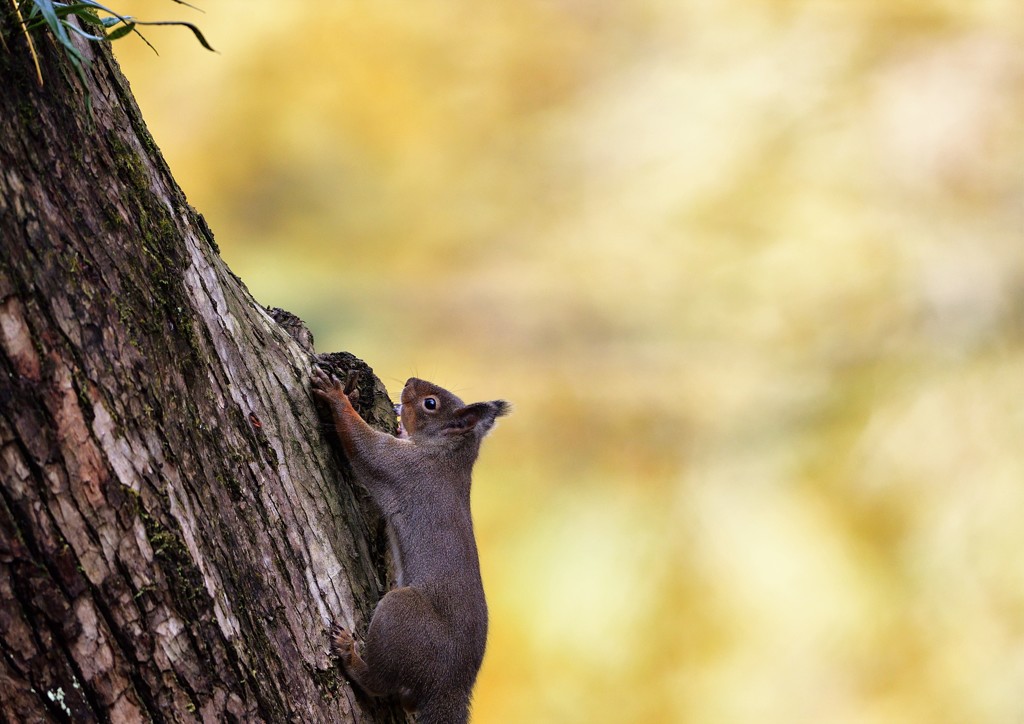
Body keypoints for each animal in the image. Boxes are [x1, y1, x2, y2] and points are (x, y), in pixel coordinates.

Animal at [307, 368, 507, 724]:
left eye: (430, 404)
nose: (410, 381)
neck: (447, 453)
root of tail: (450, 687)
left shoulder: (404, 467)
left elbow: (365, 446)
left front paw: (336, 397)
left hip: (400, 615)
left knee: (378, 682)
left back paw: (350, 655)